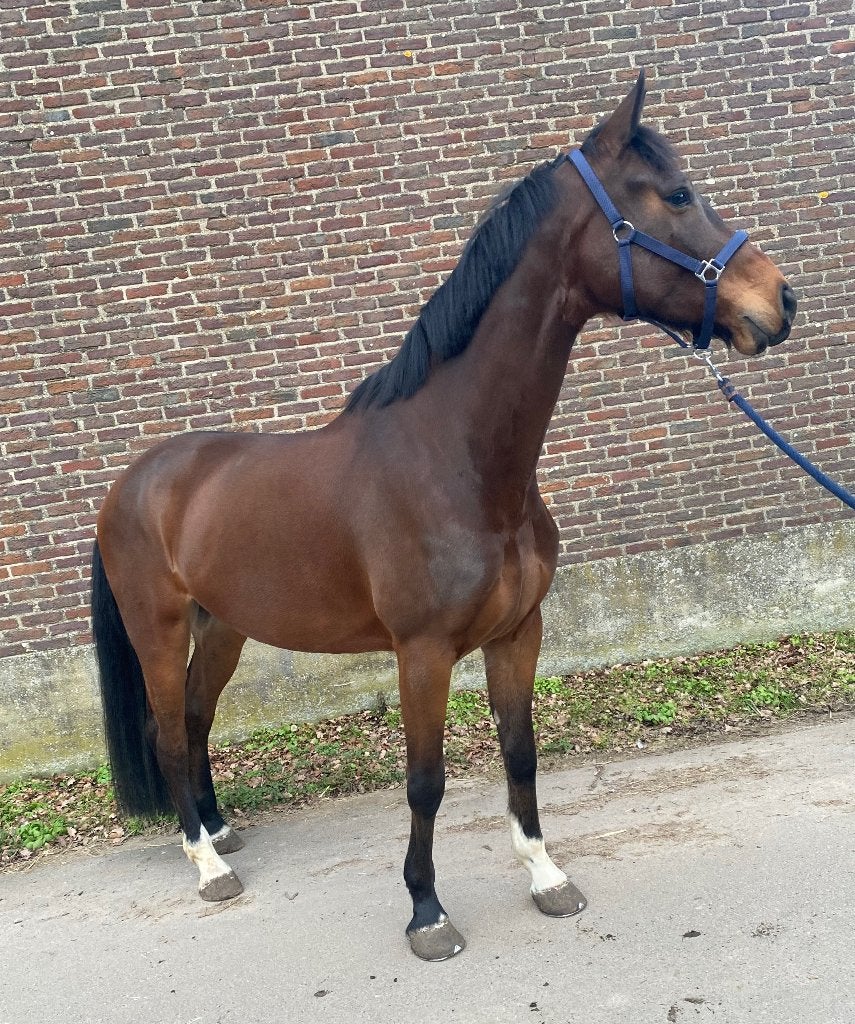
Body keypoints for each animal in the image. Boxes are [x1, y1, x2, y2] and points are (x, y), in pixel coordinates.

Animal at [91, 71, 796, 961]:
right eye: (675, 193)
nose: (779, 302)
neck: (459, 462)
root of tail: (132, 482)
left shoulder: (518, 633)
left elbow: (519, 754)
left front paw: (546, 878)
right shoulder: (421, 653)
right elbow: (424, 781)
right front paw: (426, 911)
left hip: (224, 627)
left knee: (193, 716)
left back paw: (218, 833)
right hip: (158, 626)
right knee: (166, 731)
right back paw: (207, 866)